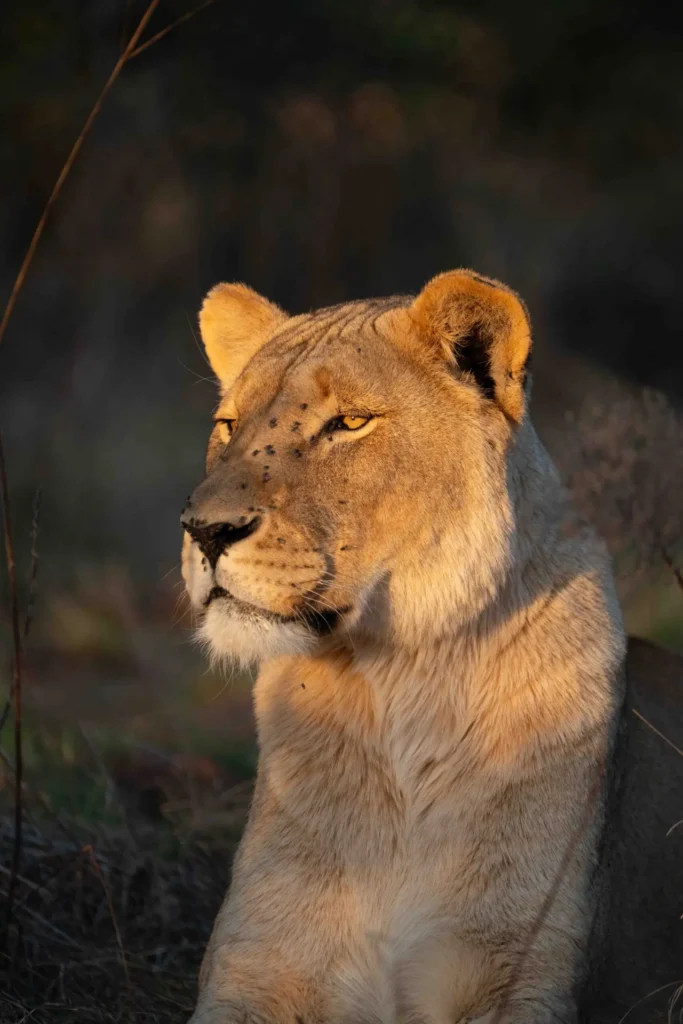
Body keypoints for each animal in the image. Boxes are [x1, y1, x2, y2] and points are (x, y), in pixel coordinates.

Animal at [181, 270, 683, 1024]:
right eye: (228, 425)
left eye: (349, 423)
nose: (205, 531)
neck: (399, 683)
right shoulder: (252, 970)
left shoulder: (523, 977)